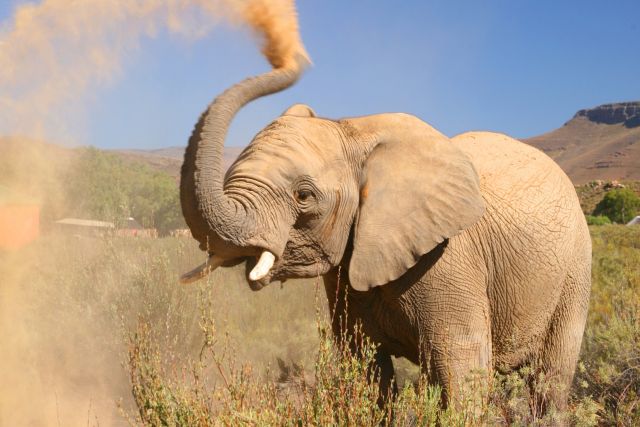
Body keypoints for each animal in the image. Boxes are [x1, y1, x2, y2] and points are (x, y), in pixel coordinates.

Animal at [179, 53, 591, 411]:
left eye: (304, 196)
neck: (355, 129)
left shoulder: (449, 259)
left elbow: (462, 371)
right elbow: (365, 368)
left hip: (576, 267)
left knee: (552, 375)